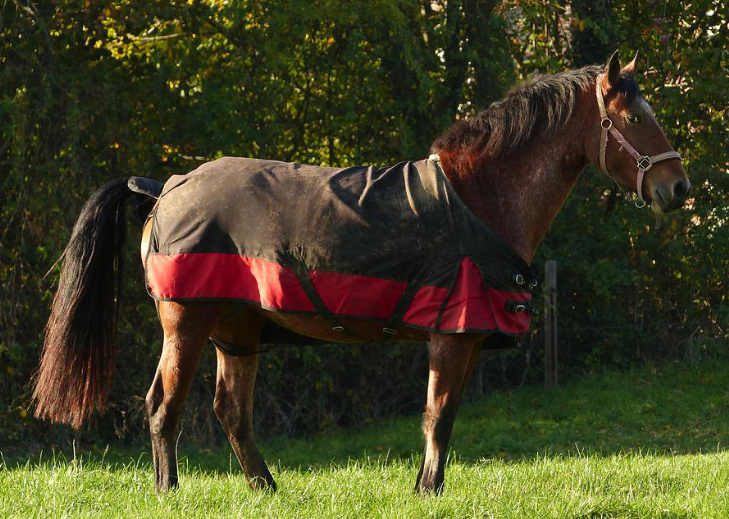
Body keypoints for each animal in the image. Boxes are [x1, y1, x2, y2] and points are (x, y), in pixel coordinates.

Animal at [29, 52, 688, 496]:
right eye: (633, 118)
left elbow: (441, 416)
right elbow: (438, 415)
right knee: (163, 405)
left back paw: (268, 490)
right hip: (186, 325)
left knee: (230, 411)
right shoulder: (452, 335)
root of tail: (163, 185)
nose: (677, 188)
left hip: (236, 332)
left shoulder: (459, 338)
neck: (479, 200)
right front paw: (428, 492)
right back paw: (170, 493)